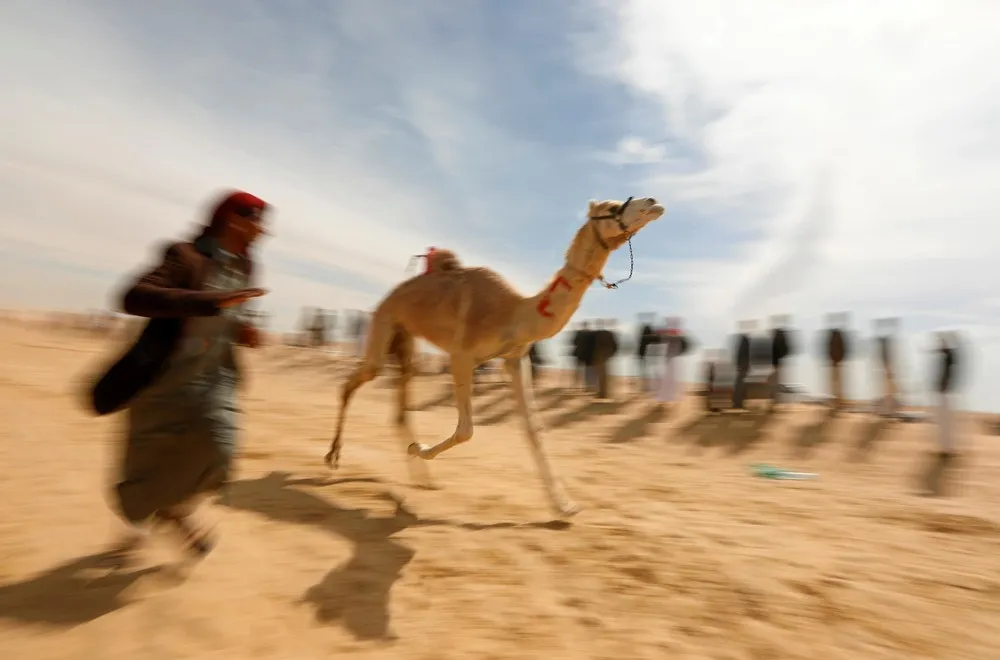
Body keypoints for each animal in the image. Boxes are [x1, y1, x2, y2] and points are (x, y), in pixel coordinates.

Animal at [325, 197, 666, 518]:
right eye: (612, 206)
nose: (653, 203)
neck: (515, 313)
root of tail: (391, 293)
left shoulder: (515, 360)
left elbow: (534, 431)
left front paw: (564, 506)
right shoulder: (462, 356)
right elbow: (466, 429)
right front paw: (419, 449)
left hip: (405, 339)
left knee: (398, 406)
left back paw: (421, 477)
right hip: (385, 322)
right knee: (353, 381)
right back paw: (333, 456)